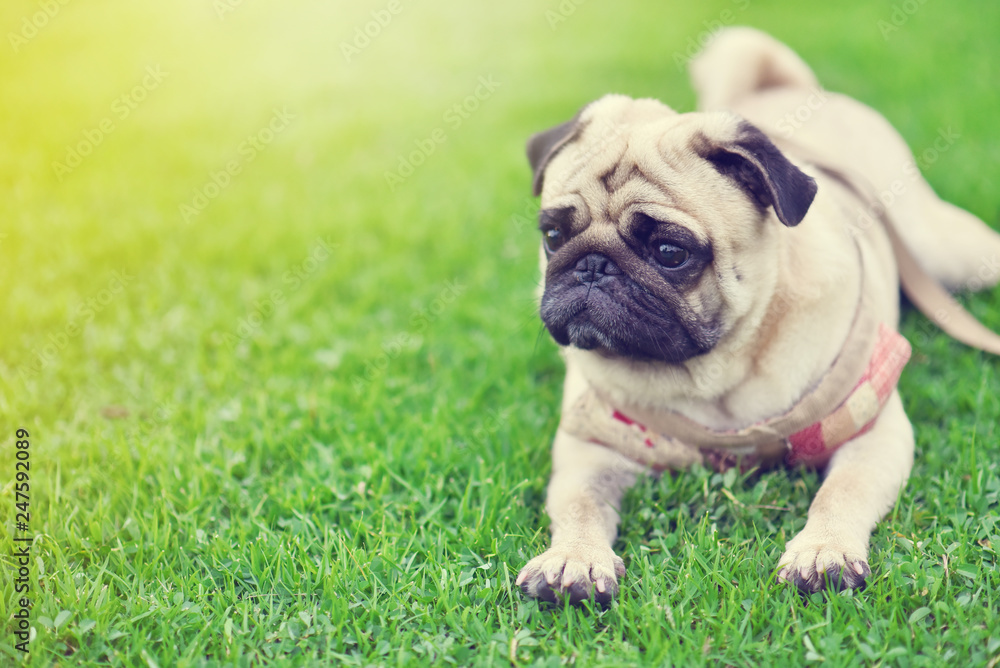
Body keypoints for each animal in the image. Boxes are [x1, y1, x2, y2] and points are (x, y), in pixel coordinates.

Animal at [516, 26, 1000, 604]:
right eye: (553, 236)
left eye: (670, 252)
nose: (593, 267)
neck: (713, 376)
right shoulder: (590, 443)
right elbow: (579, 504)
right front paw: (573, 558)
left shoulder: (872, 430)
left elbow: (840, 492)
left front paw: (824, 550)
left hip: (944, 248)